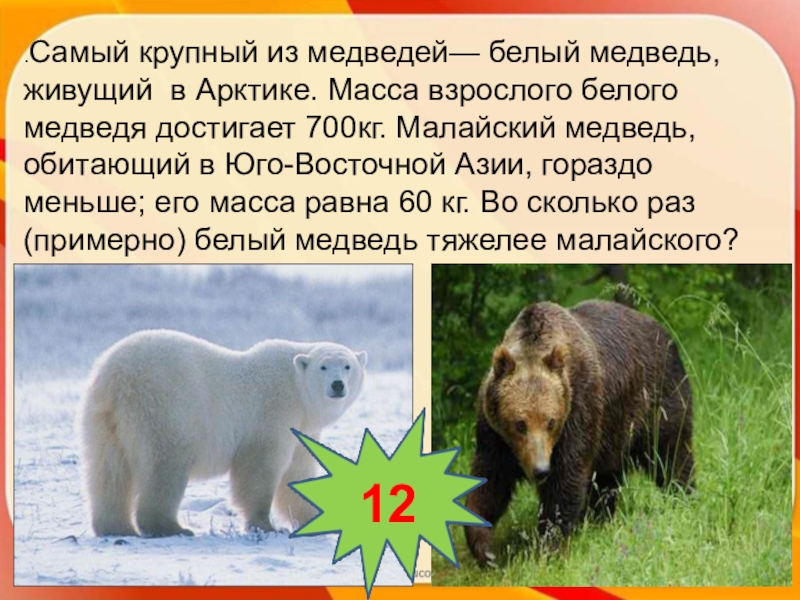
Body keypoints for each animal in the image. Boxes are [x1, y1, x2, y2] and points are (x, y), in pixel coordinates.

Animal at [79, 329, 367, 537]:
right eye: (323, 367)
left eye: (347, 366)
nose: (337, 385)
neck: (297, 389)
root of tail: (117, 376)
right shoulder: (273, 412)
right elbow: (259, 468)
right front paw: (266, 525)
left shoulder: (302, 428)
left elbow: (297, 473)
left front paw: (316, 517)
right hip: (164, 407)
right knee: (165, 465)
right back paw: (170, 527)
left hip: (102, 419)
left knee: (108, 471)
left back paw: (115, 527)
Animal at [464, 300, 693, 566]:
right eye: (520, 424)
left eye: (550, 422)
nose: (541, 470)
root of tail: (662, 330)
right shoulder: (495, 436)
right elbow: (490, 482)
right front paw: (484, 549)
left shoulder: (578, 410)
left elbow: (566, 480)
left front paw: (548, 546)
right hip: (613, 433)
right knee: (607, 479)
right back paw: (601, 518)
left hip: (656, 398)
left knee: (670, 453)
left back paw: (683, 495)